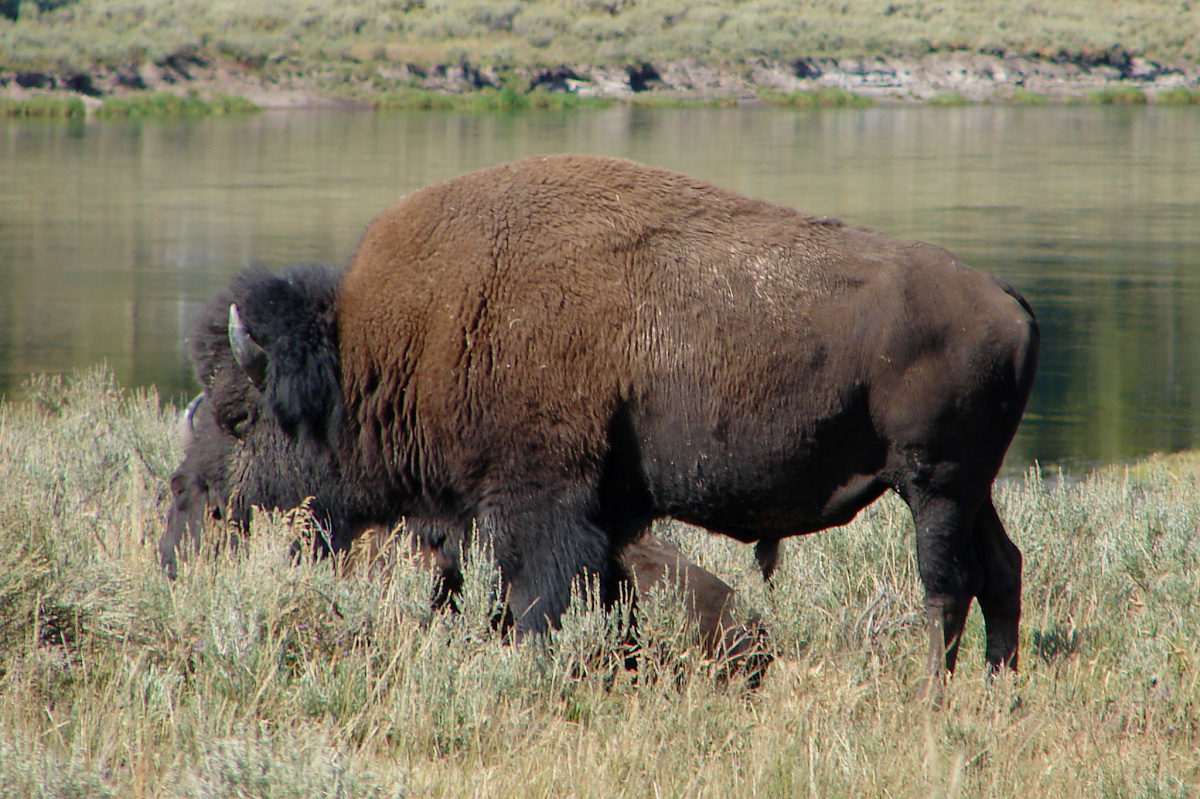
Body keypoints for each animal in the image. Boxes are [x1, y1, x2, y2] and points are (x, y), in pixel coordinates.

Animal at [171, 153, 1041, 671]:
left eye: (239, 416)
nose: (187, 510)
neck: (387, 346)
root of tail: (1006, 301)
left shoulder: (540, 504)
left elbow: (537, 598)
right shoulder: (601, 515)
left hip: (933, 484)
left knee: (946, 582)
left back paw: (932, 689)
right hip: (972, 488)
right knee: (1002, 567)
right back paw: (998, 680)